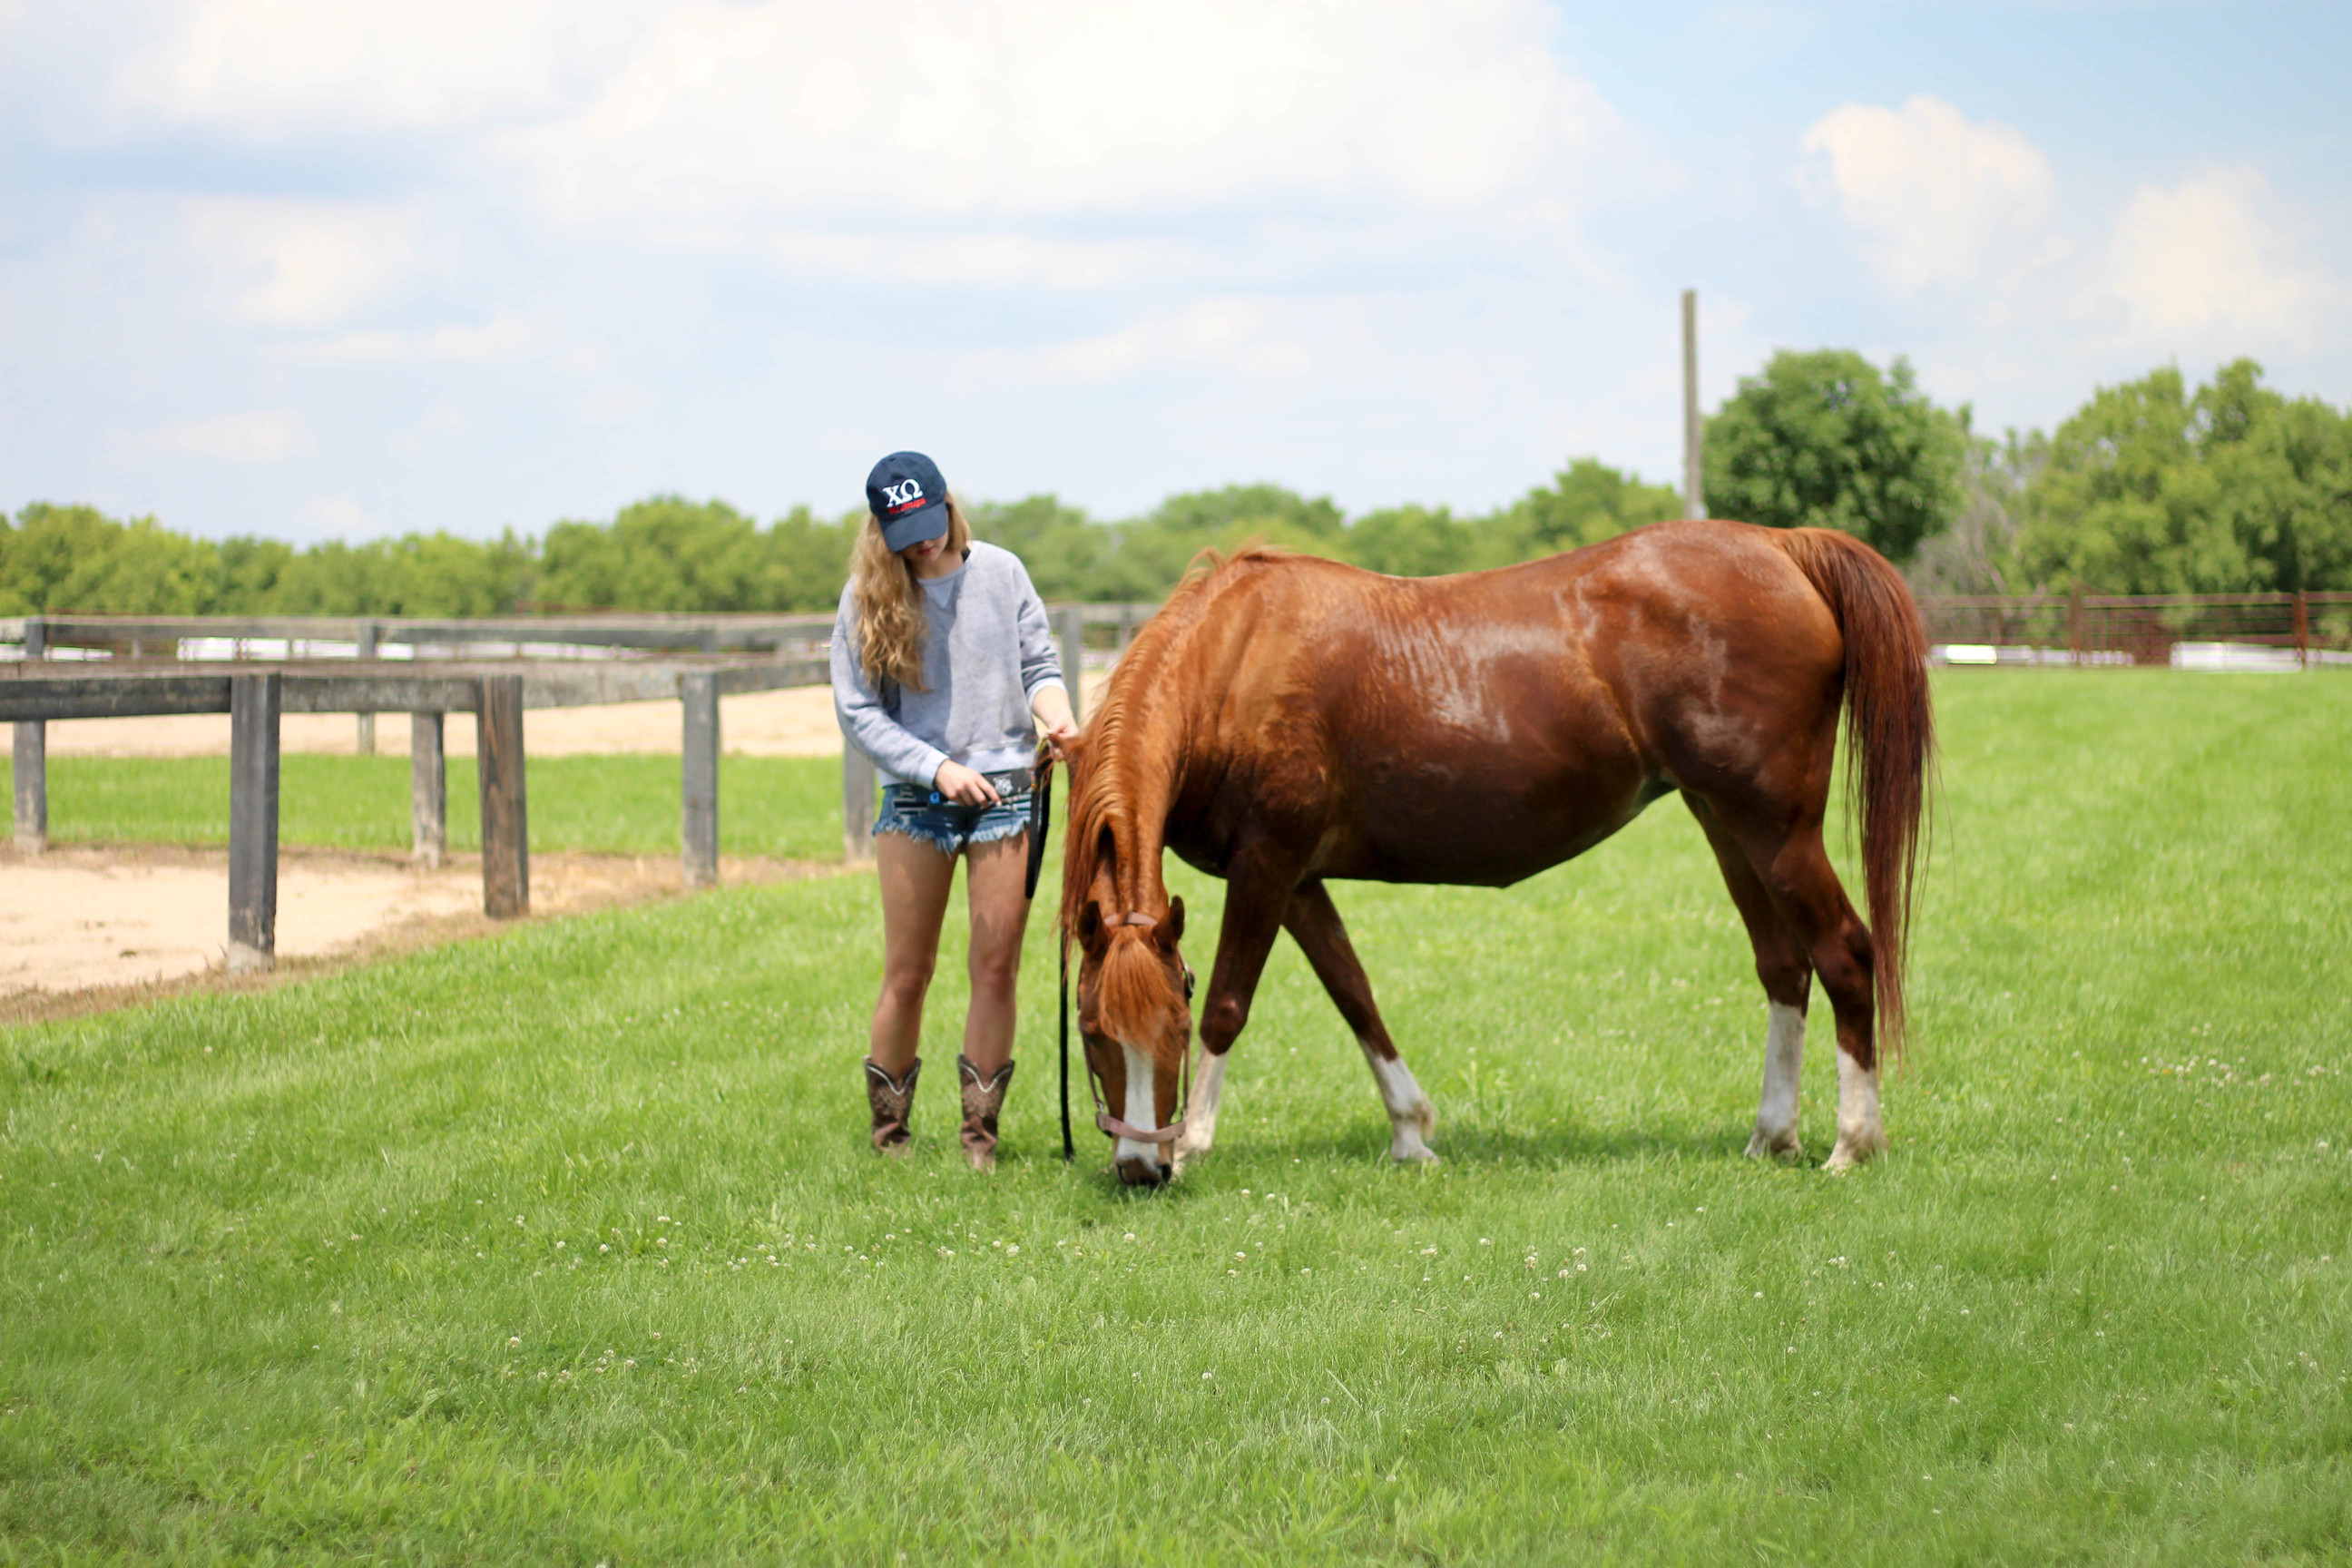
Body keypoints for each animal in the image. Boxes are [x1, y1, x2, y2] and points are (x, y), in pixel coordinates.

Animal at [1063, 522, 1928, 1184]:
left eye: (1170, 1029)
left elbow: (1231, 1005)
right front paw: (1411, 1133)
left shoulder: (1266, 865)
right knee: (1784, 967)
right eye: (1092, 1030)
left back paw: (1851, 1145)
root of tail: (1780, 545)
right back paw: (1771, 1136)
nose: (1139, 1171)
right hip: (1725, 823)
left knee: (1846, 952)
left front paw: (1194, 1143)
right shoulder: (1300, 878)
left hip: (1777, 830)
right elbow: (1355, 994)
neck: (1235, 664)